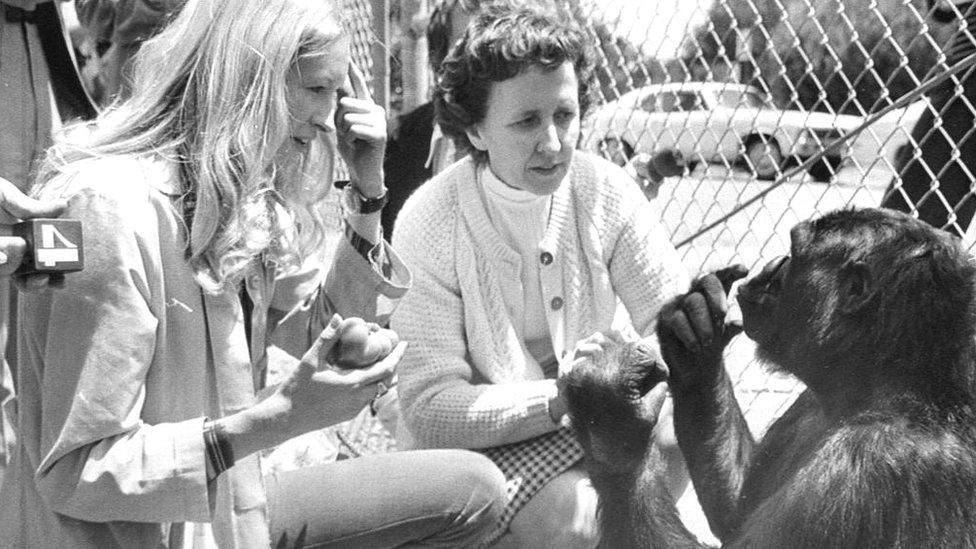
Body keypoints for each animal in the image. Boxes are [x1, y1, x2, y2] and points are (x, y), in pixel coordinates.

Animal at [564, 208, 976, 544]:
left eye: (795, 253)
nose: (775, 261)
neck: (868, 391)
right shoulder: (807, 403)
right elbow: (736, 511)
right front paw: (694, 332)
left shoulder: (863, 470)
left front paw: (610, 418)